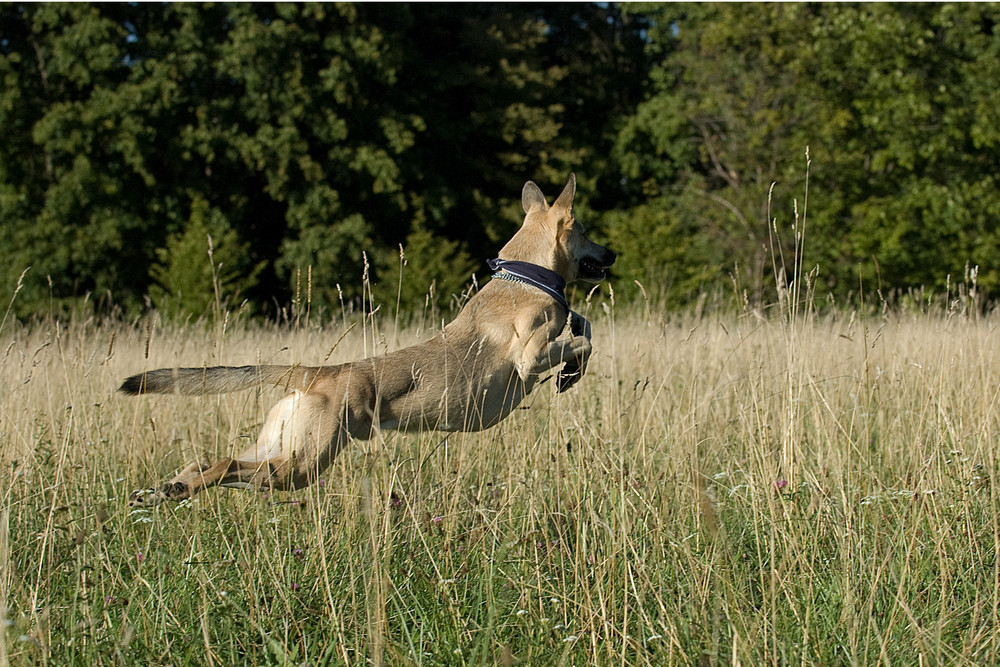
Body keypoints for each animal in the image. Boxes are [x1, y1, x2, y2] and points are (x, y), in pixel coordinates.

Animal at [121, 175, 612, 508]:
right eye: (586, 231)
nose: (613, 254)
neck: (527, 275)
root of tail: (316, 374)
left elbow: (584, 325)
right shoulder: (531, 358)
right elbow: (581, 341)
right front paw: (571, 372)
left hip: (280, 450)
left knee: (209, 462)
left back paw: (165, 490)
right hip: (302, 464)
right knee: (224, 466)